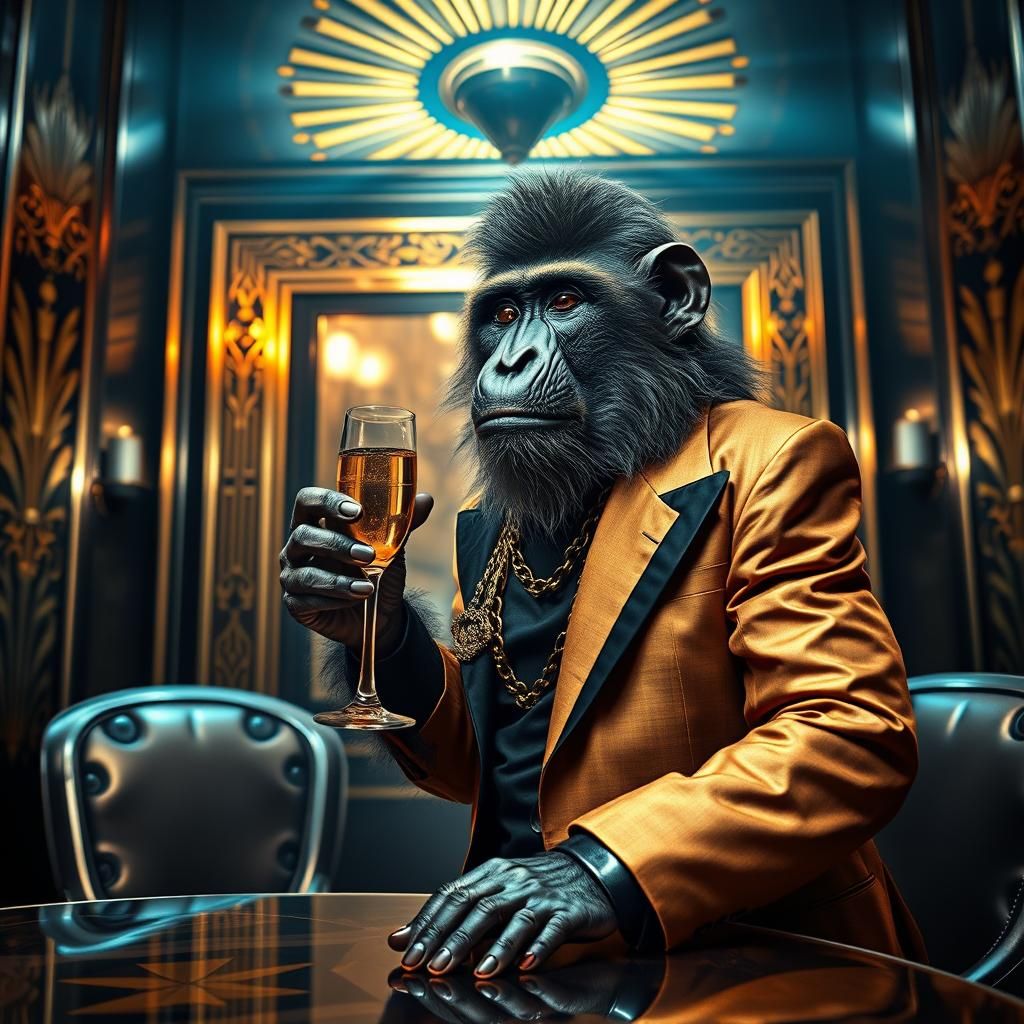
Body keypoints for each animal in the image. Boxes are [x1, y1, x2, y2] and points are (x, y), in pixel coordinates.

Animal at [280, 169, 924, 980]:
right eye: (503, 312)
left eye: (563, 302)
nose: (510, 360)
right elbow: (462, 743)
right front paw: (340, 586)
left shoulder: (807, 474)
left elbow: (835, 712)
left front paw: (555, 883)